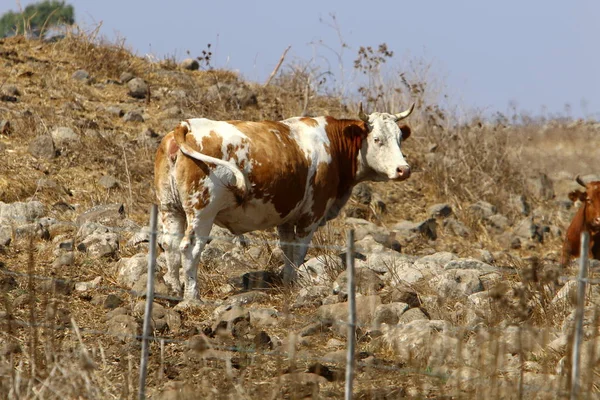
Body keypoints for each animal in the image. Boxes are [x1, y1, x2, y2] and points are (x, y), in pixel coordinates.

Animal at [155, 104, 414, 298]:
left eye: (400, 138)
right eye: (377, 139)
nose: (404, 169)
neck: (332, 144)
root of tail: (186, 125)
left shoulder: (288, 217)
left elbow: (287, 250)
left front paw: (287, 283)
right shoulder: (312, 214)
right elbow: (298, 252)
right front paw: (295, 284)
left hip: (170, 207)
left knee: (170, 244)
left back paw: (175, 289)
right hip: (202, 210)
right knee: (189, 248)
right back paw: (192, 296)